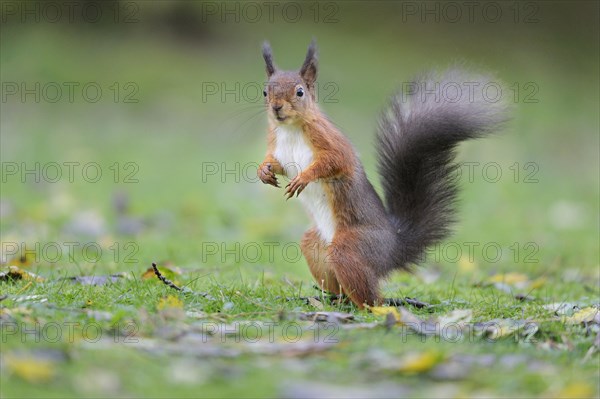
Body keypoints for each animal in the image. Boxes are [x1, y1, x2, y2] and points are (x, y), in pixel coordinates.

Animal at [256, 41, 506, 310]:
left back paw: (374, 306)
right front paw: (263, 171)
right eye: (265, 92)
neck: (290, 129)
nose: (277, 108)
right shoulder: (278, 148)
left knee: (373, 297)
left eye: (300, 92)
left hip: (352, 248)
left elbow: (334, 162)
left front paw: (304, 177)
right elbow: (276, 164)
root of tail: (393, 249)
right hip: (316, 246)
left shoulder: (331, 142)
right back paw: (332, 299)